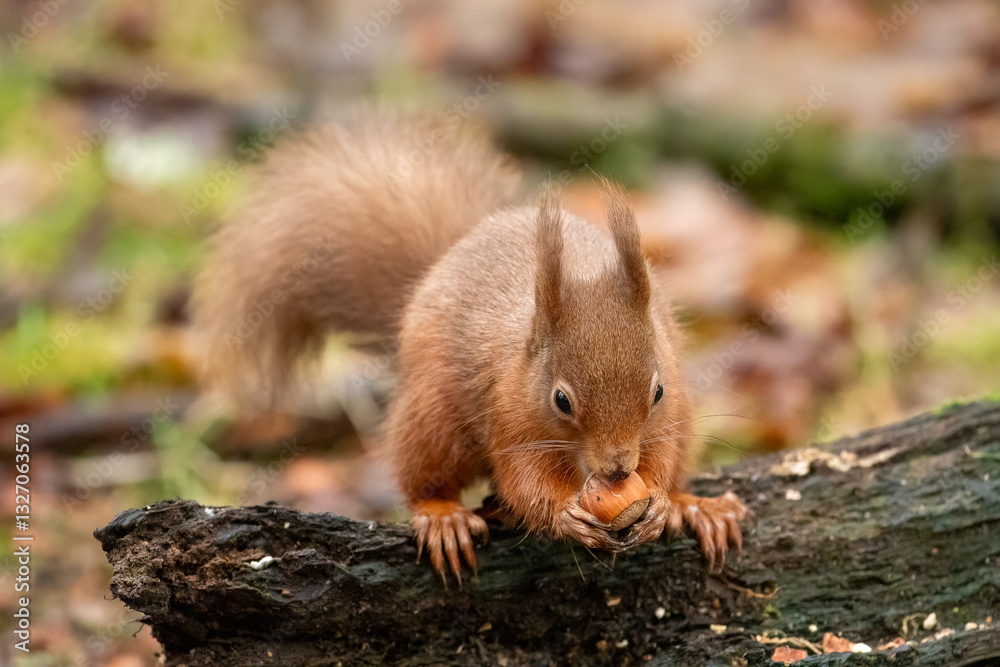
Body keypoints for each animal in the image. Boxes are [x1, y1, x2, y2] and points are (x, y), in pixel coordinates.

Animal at [193, 112, 748, 583]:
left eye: (656, 391)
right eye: (561, 400)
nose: (617, 469)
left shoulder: (670, 411)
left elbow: (661, 454)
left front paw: (659, 504)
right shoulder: (509, 413)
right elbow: (525, 481)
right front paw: (567, 516)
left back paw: (695, 507)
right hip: (433, 416)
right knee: (424, 477)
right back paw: (443, 519)